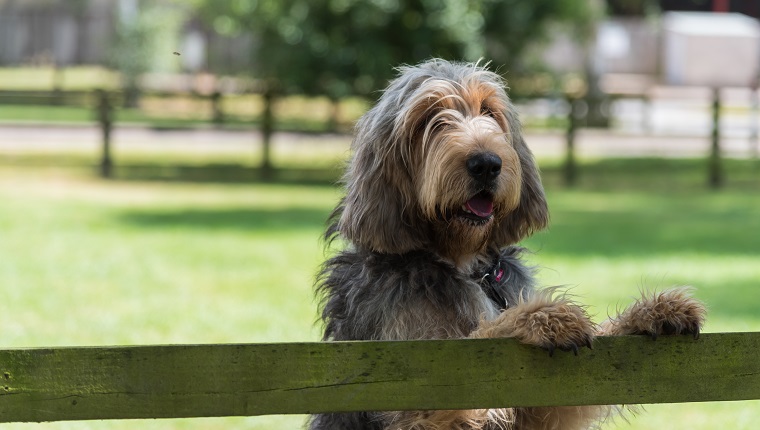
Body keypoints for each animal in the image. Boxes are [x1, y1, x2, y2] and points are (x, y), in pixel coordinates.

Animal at [308, 59, 708, 430]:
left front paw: (653, 312)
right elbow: (481, 336)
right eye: (429, 118)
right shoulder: (416, 385)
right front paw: (542, 318)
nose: (486, 163)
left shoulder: (538, 406)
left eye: (489, 110)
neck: (464, 263)